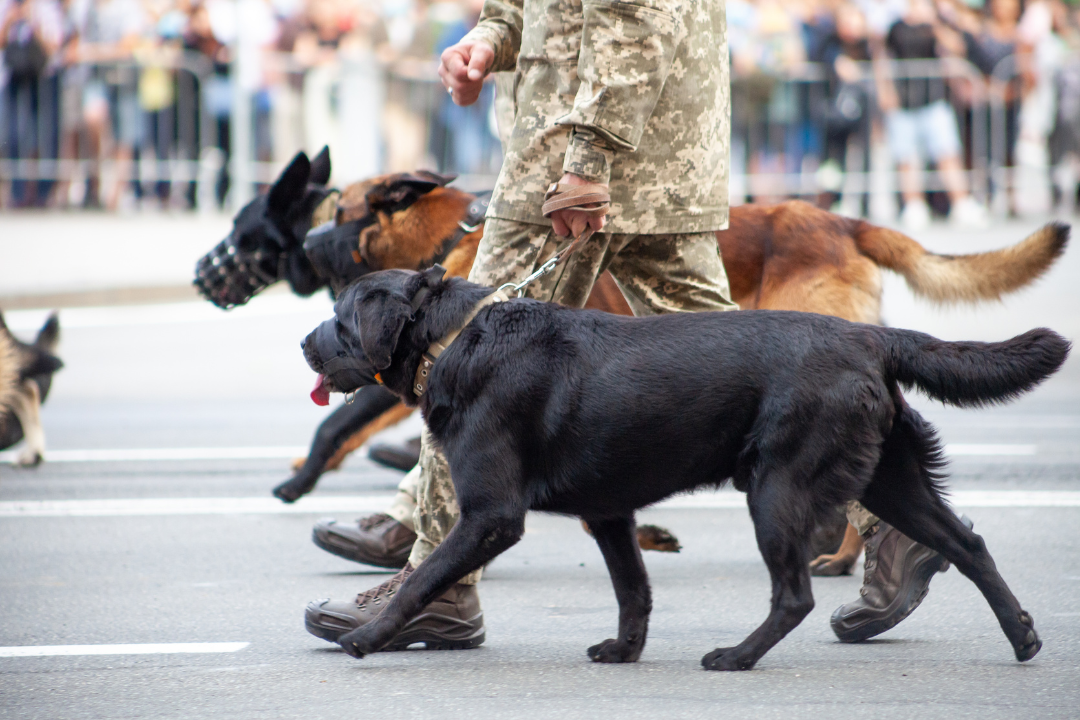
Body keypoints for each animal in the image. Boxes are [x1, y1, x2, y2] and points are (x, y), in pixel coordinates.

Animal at [300, 266, 1067, 669]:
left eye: (339, 317)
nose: (303, 343)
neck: (458, 337)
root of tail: (870, 337)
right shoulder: (608, 511)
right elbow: (633, 589)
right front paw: (625, 649)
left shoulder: (491, 515)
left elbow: (422, 577)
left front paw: (368, 637)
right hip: (892, 480)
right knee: (969, 544)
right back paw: (1022, 636)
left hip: (778, 489)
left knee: (795, 595)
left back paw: (738, 656)